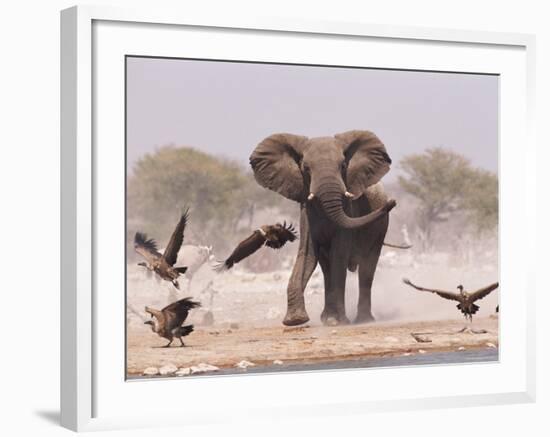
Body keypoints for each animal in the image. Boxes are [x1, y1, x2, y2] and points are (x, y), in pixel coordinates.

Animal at [250, 131, 396, 326]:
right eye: (305, 168)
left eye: (343, 166)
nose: (393, 202)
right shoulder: (306, 210)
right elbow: (307, 253)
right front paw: (295, 320)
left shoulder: (348, 208)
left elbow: (339, 253)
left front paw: (339, 322)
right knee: (327, 267)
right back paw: (327, 318)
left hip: (380, 229)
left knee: (367, 266)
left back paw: (363, 320)